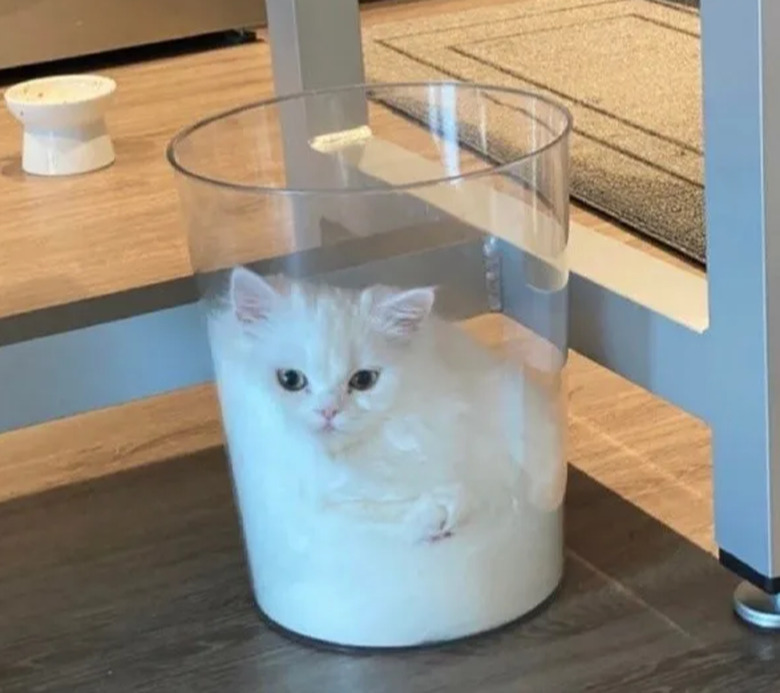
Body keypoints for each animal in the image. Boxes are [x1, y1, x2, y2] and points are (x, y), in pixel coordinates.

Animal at [209, 268, 560, 544]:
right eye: (290, 379)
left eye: (363, 380)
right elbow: (361, 512)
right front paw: (434, 513)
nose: (328, 411)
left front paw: (445, 510)